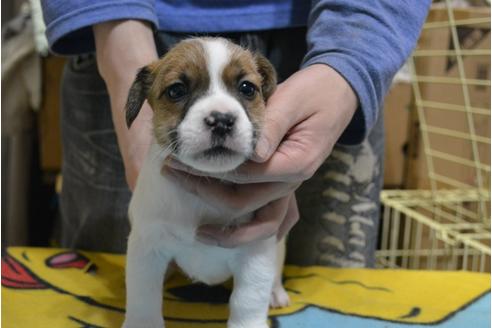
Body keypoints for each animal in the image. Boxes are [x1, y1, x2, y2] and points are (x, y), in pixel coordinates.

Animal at [123, 38, 290, 328]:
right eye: (176, 90)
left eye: (247, 88)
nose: (221, 120)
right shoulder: (147, 247)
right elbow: (143, 296)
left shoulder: (255, 251)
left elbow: (247, 300)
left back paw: (276, 292)